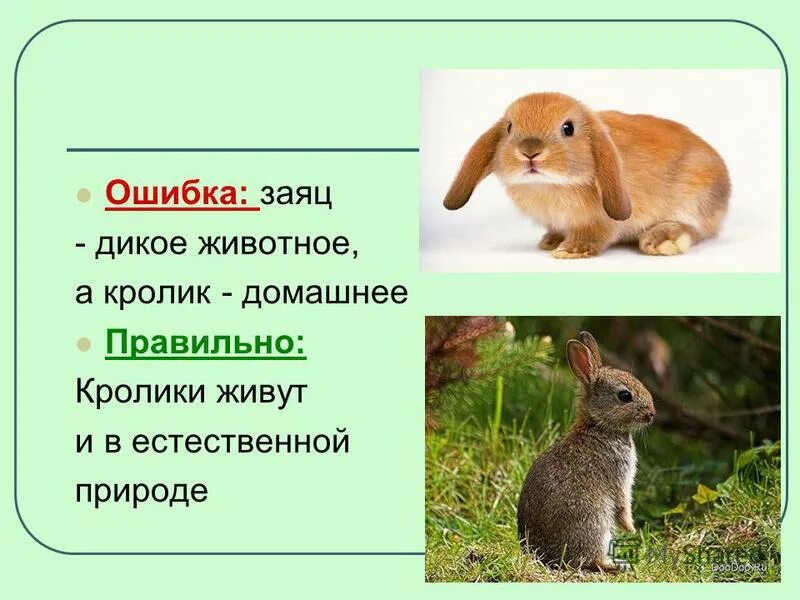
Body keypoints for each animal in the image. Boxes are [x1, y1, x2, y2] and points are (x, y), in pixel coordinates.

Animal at [443, 92, 730, 258]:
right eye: (510, 127)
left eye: (568, 128)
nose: (530, 152)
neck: (549, 186)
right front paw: (551, 241)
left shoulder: (599, 221)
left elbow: (594, 234)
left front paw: (571, 250)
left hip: (696, 198)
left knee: (698, 229)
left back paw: (662, 240)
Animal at [517, 331, 655, 571]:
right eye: (624, 396)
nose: (651, 414)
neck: (599, 425)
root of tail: (542, 554)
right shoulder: (619, 478)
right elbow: (623, 504)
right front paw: (631, 528)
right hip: (596, 522)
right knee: (591, 560)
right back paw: (617, 565)